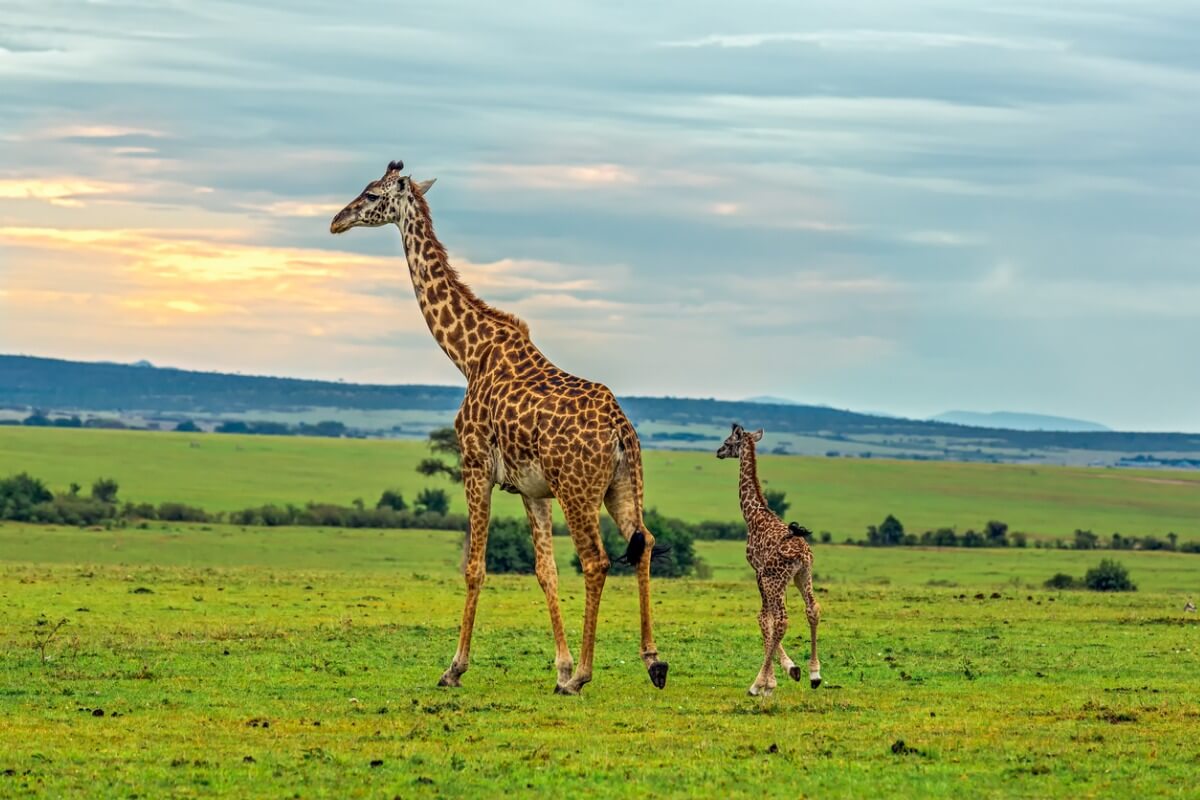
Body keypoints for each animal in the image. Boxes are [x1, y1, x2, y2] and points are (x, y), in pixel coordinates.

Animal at [329, 160, 668, 695]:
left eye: (371, 194)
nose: (336, 221)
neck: (467, 353)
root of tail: (621, 431)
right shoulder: (532, 489)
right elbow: (545, 571)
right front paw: (560, 665)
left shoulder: (473, 466)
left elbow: (474, 567)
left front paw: (454, 668)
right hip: (620, 485)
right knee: (645, 543)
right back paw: (652, 662)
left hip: (578, 490)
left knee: (596, 560)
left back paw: (586, 676)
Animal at [716, 423, 822, 696]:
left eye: (728, 442)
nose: (718, 451)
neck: (753, 515)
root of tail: (802, 553)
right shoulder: (776, 578)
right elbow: (769, 619)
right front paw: (791, 669)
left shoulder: (758, 571)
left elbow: (765, 618)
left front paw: (767, 682)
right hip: (802, 576)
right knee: (812, 609)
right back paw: (815, 674)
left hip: (776, 579)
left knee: (782, 620)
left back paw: (756, 684)